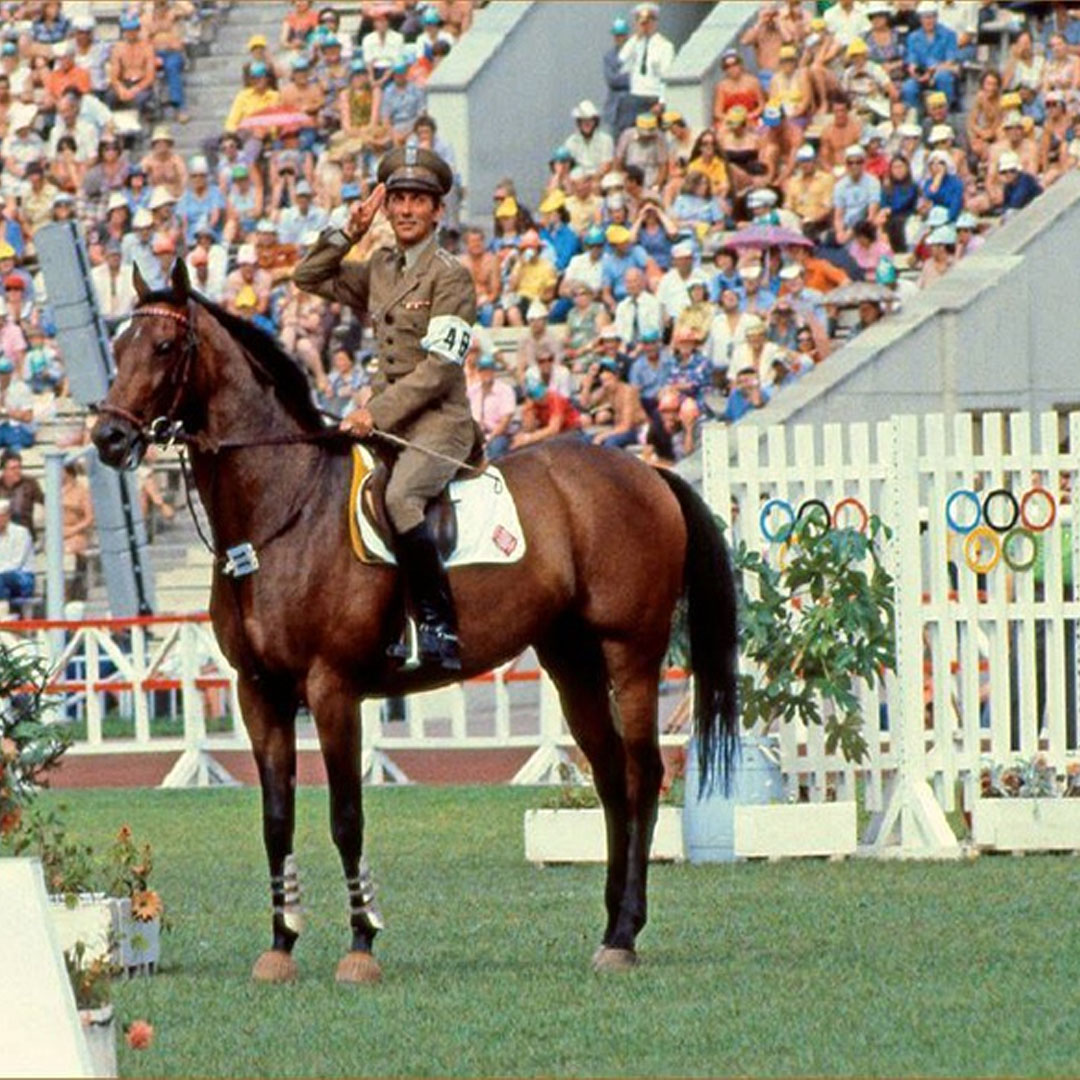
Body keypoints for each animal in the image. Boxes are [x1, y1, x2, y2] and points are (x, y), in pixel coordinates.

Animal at [90, 259, 743, 980]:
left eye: (165, 347)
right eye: (117, 346)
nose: (108, 437)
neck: (282, 509)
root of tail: (647, 473)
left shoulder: (332, 688)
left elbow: (346, 816)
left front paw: (361, 943)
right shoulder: (258, 692)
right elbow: (276, 819)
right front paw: (281, 946)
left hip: (630, 653)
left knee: (642, 774)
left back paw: (626, 931)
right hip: (570, 659)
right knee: (608, 779)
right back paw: (609, 926)